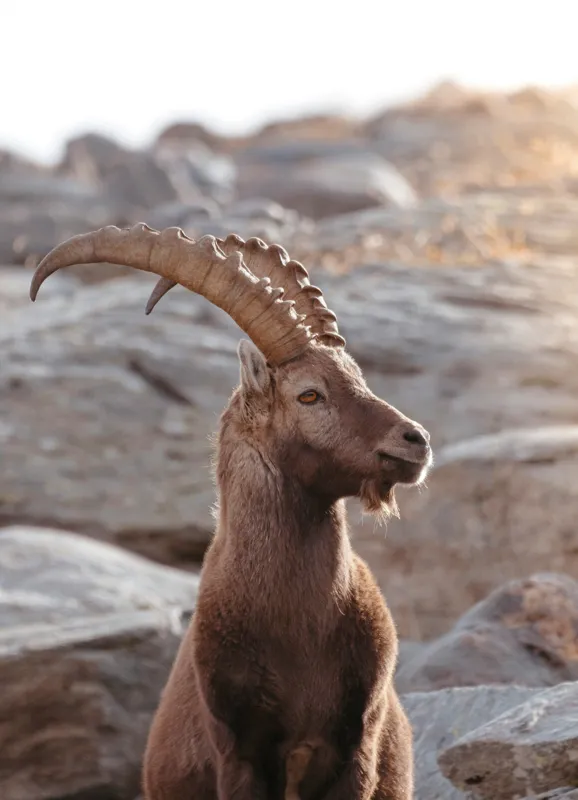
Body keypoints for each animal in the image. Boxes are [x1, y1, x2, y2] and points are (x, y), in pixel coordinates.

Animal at [30, 224, 432, 800]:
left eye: (358, 377)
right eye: (309, 394)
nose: (415, 441)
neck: (299, 626)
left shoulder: (357, 749)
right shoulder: (239, 751)